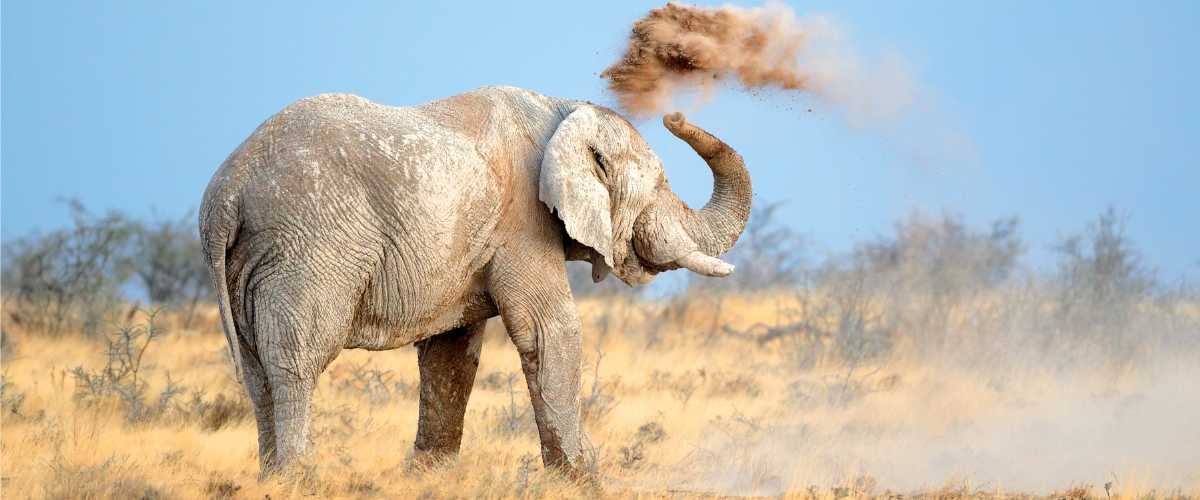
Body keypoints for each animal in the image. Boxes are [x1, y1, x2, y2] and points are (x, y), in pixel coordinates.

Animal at [201, 86, 753, 474]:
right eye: (660, 183)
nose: (673, 115)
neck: (563, 109)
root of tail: (226, 193)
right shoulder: (522, 222)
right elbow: (551, 333)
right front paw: (583, 479)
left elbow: (450, 356)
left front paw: (430, 478)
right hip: (309, 248)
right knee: (297, 363)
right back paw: (300, 478)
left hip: (251, 261)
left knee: (257, 373)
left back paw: (272, 478)